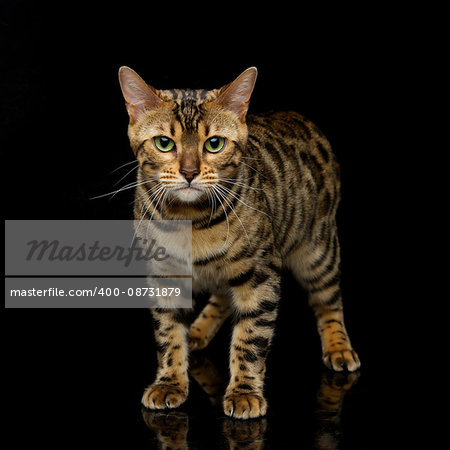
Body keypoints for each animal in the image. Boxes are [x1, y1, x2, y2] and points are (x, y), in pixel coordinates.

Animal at [118, 66, 360, 418]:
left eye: (214, 144)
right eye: (164, 143)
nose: (189, 172)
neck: (190, 221)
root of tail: (297, 115)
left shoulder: (261, 273)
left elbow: (251, 338)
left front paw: (244, 392)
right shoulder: (164, 275)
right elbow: (168, 332)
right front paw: (170, 382)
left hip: (318, 248)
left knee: (328, 300)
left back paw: (339, 347)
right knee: (221, 295)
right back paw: (197, 333)